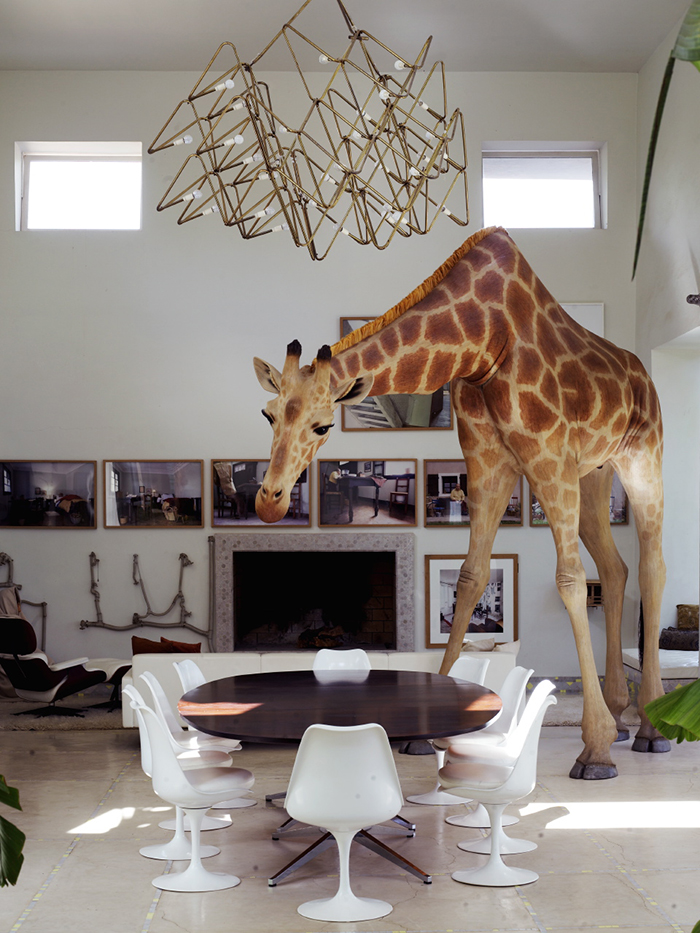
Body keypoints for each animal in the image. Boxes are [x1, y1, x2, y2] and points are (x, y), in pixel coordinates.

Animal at [254, 226, 668, 780]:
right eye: (268, 414)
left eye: (322, 427)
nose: (269, 502)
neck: (482, 342)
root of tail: (643, 374)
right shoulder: (487, 461)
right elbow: (471, 576)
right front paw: (424, 733)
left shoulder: (547, 456)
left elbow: (570, 581)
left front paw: (595, 749)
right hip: (595, 474)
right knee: (617, 568)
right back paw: (623, 716)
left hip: (642, 457)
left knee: (650, 565)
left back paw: (650, 727)